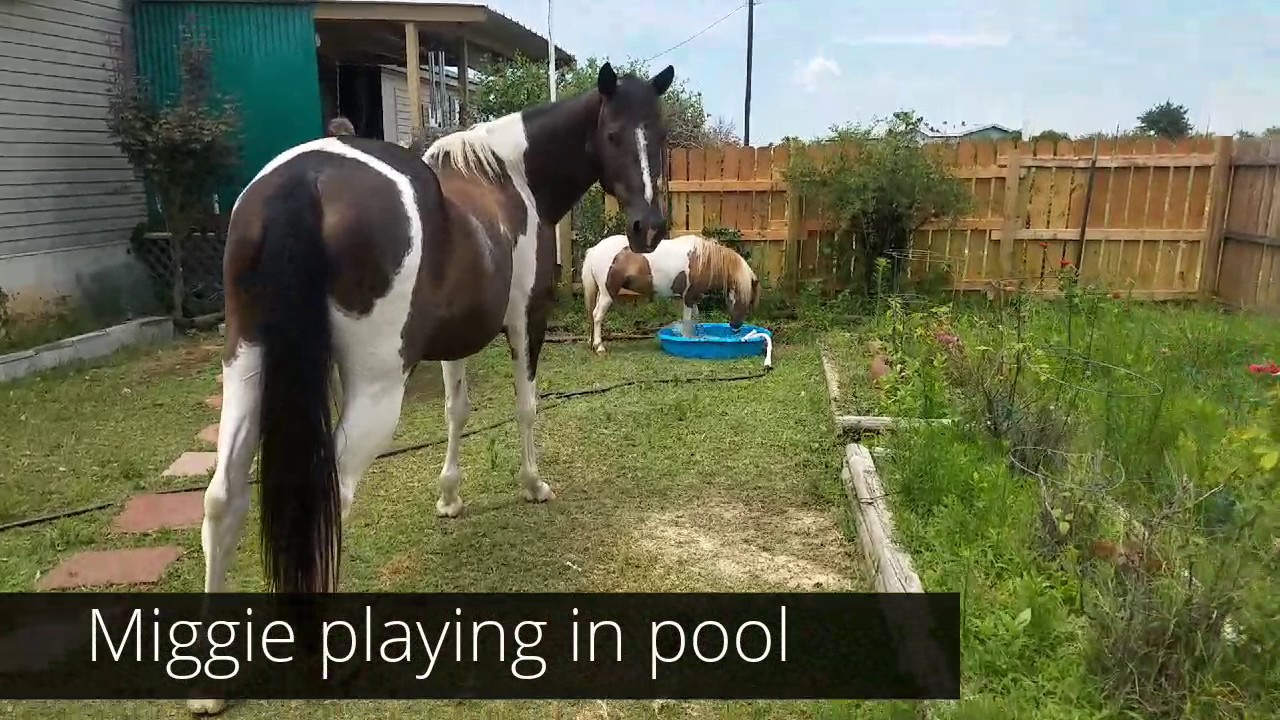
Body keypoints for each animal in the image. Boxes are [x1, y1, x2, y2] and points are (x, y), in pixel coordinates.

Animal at [188, 63, 675, 713]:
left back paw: (209, 686)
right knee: (331, 497)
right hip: (374, 389)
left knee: (222, 497)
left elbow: (456, 409)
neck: (512, 177)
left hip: (245, 369)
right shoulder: (527, 321)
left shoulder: (455, 341)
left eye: (661, 136)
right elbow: (526, 408)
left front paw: (449, 496)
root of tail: (302, 181)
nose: (650, 228)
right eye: (615, 134)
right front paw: (532, 485)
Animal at [581, 232, 759, 354]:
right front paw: (687, 338)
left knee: (592, 314)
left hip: (601, 292)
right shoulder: (689, 297)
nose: (735, 327)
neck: (703, 260)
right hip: (607, 293)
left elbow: (695, 319)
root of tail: (595, 249)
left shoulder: (692, 298)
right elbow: (688, 320)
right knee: (597, 315)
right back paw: (599, 346)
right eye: (747, 299)